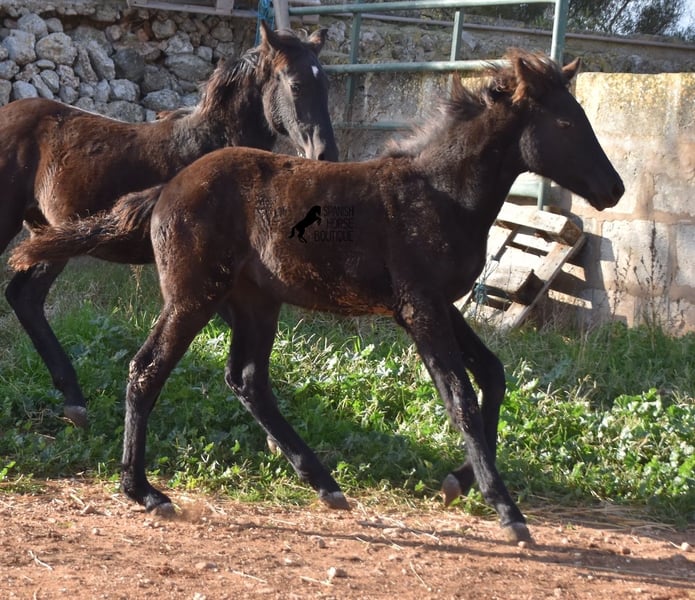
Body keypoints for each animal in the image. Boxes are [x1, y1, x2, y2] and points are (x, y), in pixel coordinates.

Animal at [0, 21, 338, 428]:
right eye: (296, 84)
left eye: (327, 84)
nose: (326, 154)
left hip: (48, 235)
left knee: (24, 296)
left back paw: (74, 402)